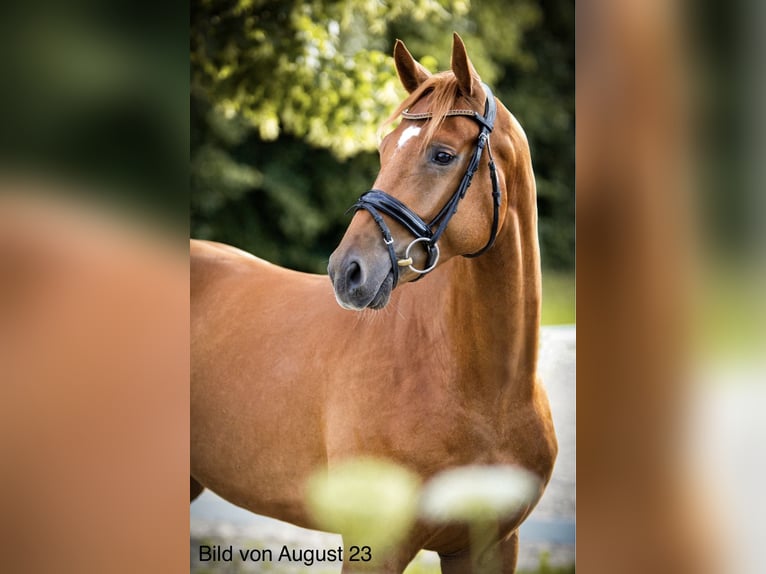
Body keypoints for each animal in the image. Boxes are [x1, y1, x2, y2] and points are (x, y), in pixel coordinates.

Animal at [191, 33, 557, 573]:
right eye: (384, 150)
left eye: (442, 155)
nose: (347, 271)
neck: (485, 392)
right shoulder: (375, 548)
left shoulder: (492, 546)